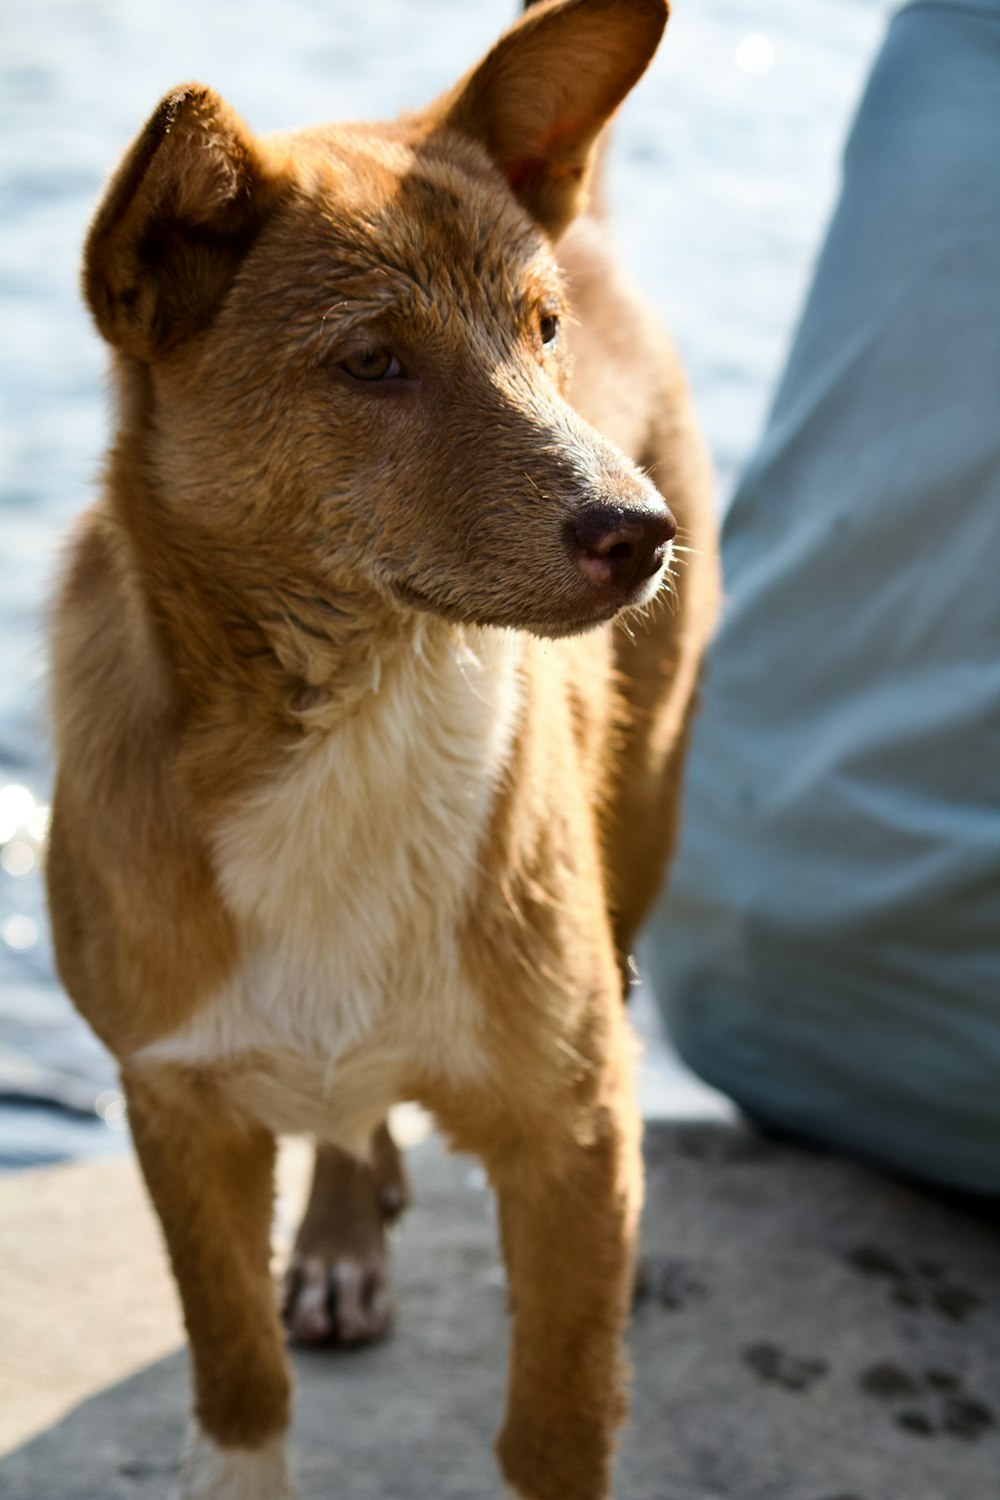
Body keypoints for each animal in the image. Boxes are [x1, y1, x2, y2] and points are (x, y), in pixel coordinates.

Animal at [46, 5, 719, 1494]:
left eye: (540, 330)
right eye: (371, 363)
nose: (639, 531)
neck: (354, 708)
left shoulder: (569, 1132)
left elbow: (556, 1422)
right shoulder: (175, 1106)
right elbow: (237, 1377)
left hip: (645, 814)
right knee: (344, 1115)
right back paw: (343, 1232)